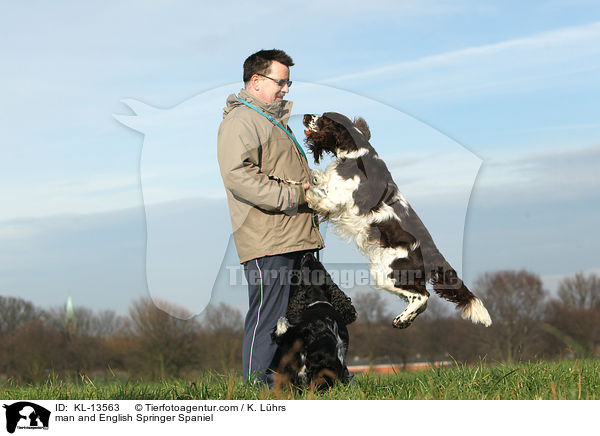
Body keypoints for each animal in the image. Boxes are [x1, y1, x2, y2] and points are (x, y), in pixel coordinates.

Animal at [304, 110, 492, 328]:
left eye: (323, 119)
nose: (306, 116)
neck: (356, 152)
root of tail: (433, 253)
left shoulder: (337, 199)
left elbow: (316, 195)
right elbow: (319, 180)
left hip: (389, 273)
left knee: (423, 296)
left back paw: (401, 319)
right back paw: (406, 319)